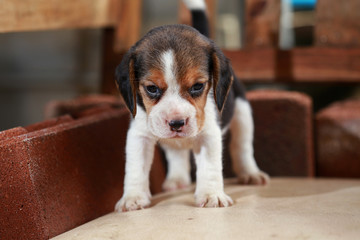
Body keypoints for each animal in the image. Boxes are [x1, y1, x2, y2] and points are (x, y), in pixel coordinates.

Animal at [114, 0, 268, 211]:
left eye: (197, 86)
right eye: (152, 88)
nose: (177, 123)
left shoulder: (209, 135)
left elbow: (210, 167)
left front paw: (212, 195)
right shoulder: (139, 136)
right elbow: (136, 168)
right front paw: (133, 197)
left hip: (243, 113)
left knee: (242, 146)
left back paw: (250, 173)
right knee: (176, 152)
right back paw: (177, 179)